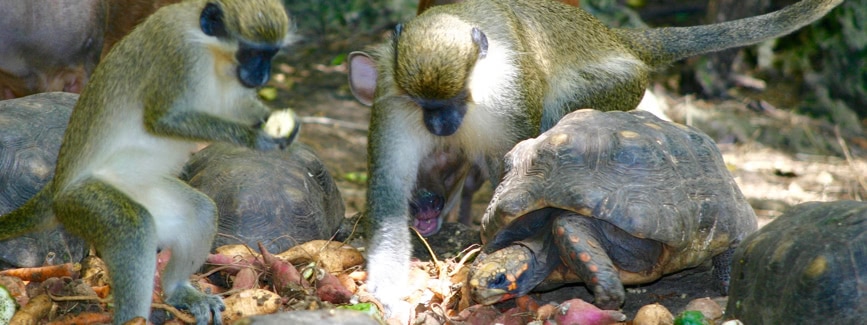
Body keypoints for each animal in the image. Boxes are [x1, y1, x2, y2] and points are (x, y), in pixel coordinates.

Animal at [0, 1, 302, 322]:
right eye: (252, 52)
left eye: (270, 54)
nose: (262, 76)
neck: (210, 50)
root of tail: (57, 186)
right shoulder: (180, 57)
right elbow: (160, 120)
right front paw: (256, 137)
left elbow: (235, 105)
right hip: (81, 202)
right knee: (135, 230)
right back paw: (134, 317)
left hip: (142, 189)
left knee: (201, 211)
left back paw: (178, 291)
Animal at [350, 0, 844, 318]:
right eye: (423, 103)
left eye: (454, 100)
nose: (440, 125)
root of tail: (618, 39)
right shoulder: (392, 97)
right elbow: (388, 199)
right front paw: (387, 290)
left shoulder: (513, 99)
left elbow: (519, 165)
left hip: (619, 86)